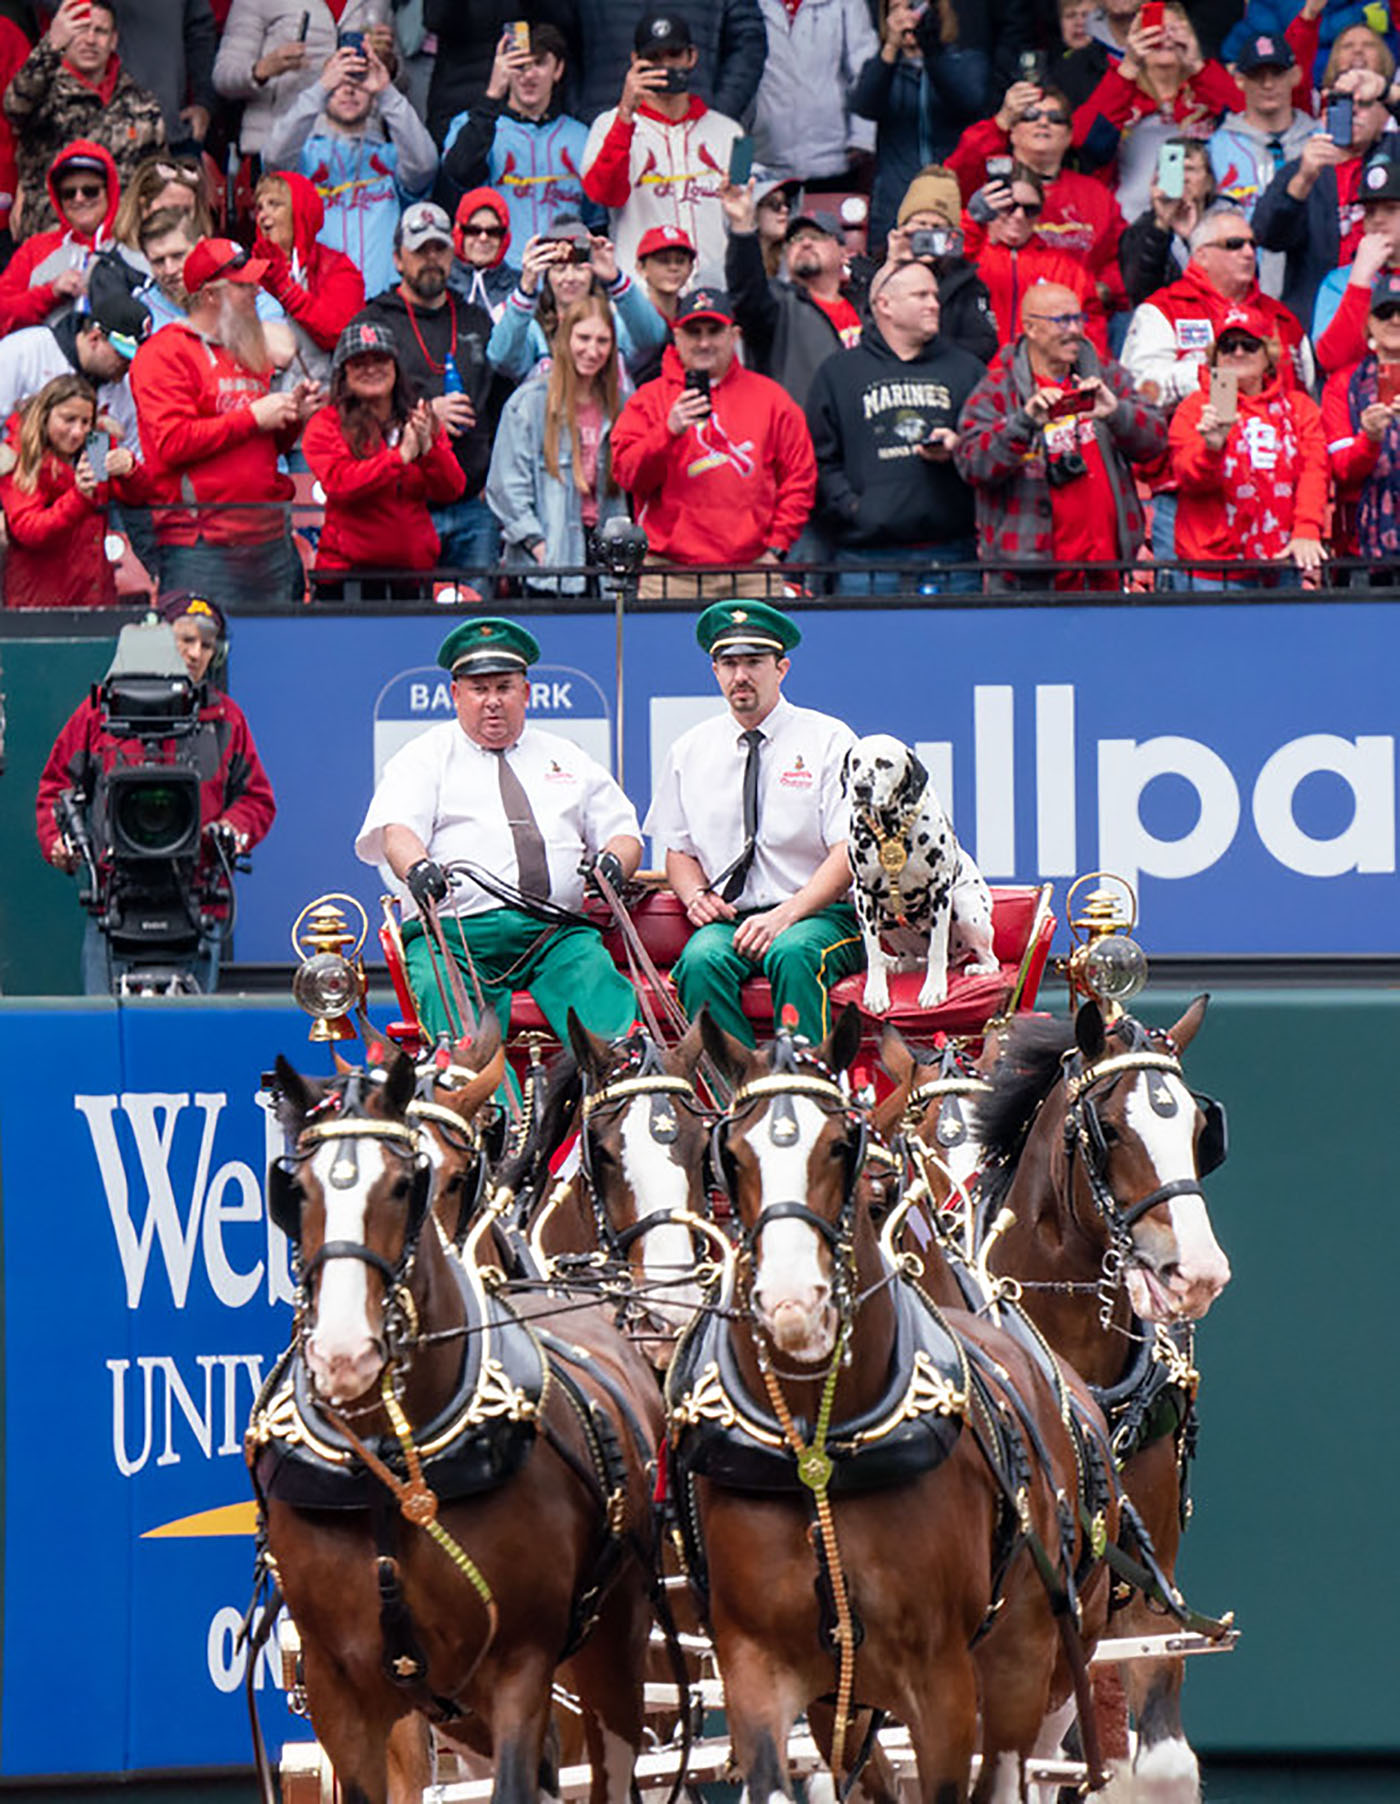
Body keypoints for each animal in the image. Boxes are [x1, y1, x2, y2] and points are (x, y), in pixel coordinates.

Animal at [837, 732, 1003, 1017]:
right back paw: (897, 964)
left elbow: (937, 949)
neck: (891, 827)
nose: (861, 788)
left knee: (990, 960)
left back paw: (980, 967)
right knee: (909, 961)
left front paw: (934, 989)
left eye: (884, 763)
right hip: (885, 918)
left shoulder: (940, 891)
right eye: (855, 762)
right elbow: (872, 952)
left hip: (966, 910)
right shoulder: (863, 895)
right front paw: (876, 992)